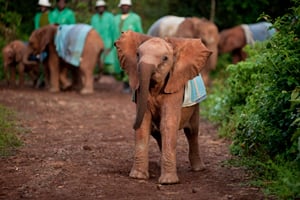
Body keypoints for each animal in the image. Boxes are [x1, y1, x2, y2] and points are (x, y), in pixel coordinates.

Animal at [114, 30, 211, 184]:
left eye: (165, 58)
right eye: (137, 54)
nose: (131, 124)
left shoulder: (175, 87)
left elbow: (168, 124)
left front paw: (168, 182)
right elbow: (144, 125)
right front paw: (138, 177)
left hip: (196, 106)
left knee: (192, 132)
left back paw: (198, 169)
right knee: (157, 132)